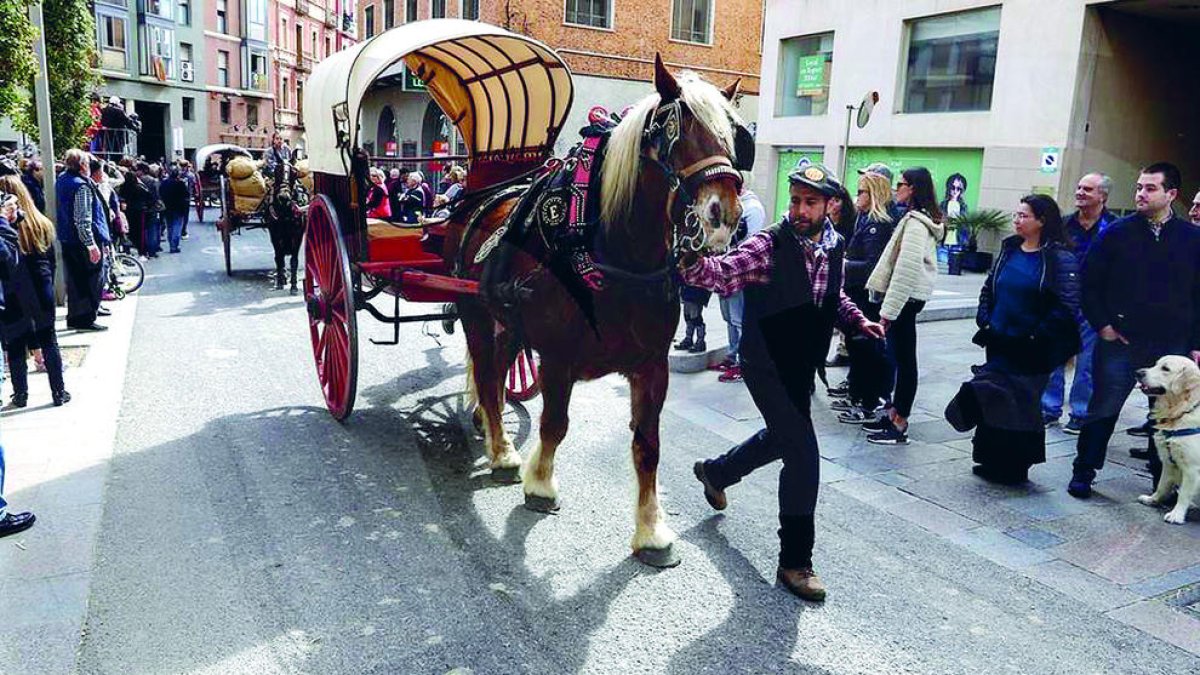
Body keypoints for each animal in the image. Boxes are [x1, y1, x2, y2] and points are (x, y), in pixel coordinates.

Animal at [451, 56, 744, 562]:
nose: (724, 214)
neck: (615, 256)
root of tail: (482, 201)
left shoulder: (651, 366)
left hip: (509, 324)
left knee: (499, 372)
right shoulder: (558, 358)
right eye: (677, 132)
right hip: (476, 316)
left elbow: (648, 445)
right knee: (488, 379)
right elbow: (554, 424)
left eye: (729, 137)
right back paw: (503, 452)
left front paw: (651, 530)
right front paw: (540, 485)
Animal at [1132, 355, 1200, 523]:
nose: (1138, 372)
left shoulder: (1192, 468)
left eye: (1165, 369)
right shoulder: (1169, 462)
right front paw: (1152, 500)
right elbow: (1162, 485)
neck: (1182, 411)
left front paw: (1177, 514)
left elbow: (1184, 494)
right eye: (1155, 364)